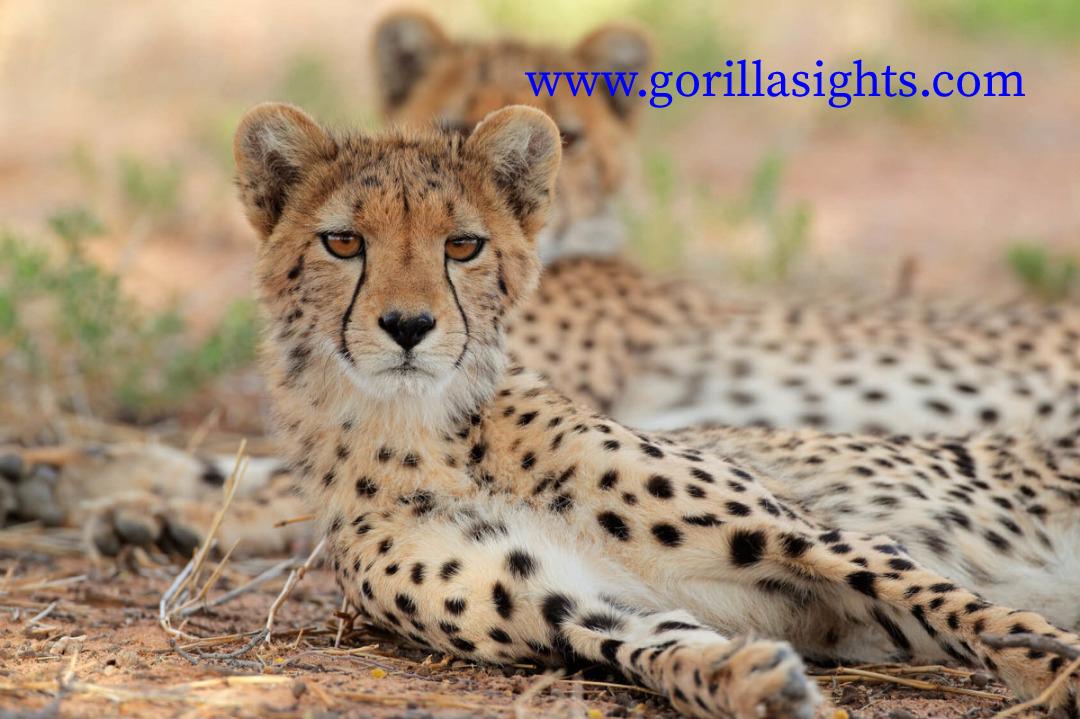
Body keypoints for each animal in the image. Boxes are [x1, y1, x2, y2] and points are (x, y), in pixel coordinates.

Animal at [223, 100, 1080, 718]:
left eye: (462, 245)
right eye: (343, 242)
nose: (408, 326)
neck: (421, 431)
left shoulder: (809, 535)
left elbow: (964, 607)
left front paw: (1054, 663)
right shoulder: (572, 608)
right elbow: (661, 648)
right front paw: (748, 680)